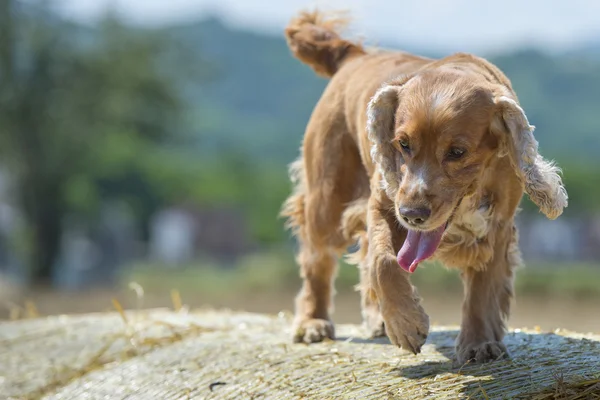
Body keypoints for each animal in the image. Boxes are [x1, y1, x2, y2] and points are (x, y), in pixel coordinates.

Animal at [280, 10, 568, 366]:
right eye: (402, 144)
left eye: (457, 152)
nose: (412, 214)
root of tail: (353, 55)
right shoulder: (385, 203)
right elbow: (384, 262)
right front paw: (406, 325)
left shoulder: (498, 225)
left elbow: (483, 288)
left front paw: (479, 343)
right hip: (328, 199)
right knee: (316, 259)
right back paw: (313, 322)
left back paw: (376, 320)